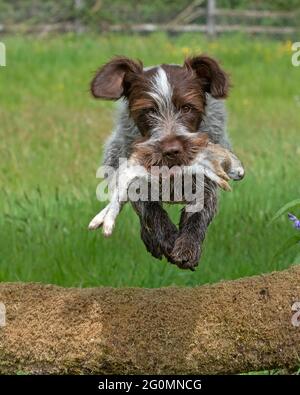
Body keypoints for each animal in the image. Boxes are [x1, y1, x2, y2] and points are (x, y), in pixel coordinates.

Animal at [88, 55, 244, 270]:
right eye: (148, 111)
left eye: (187, 107)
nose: (171, 150)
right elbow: (148, 207)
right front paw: (167, 238)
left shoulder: (206, 180)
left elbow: (200, 210)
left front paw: (188, 246)